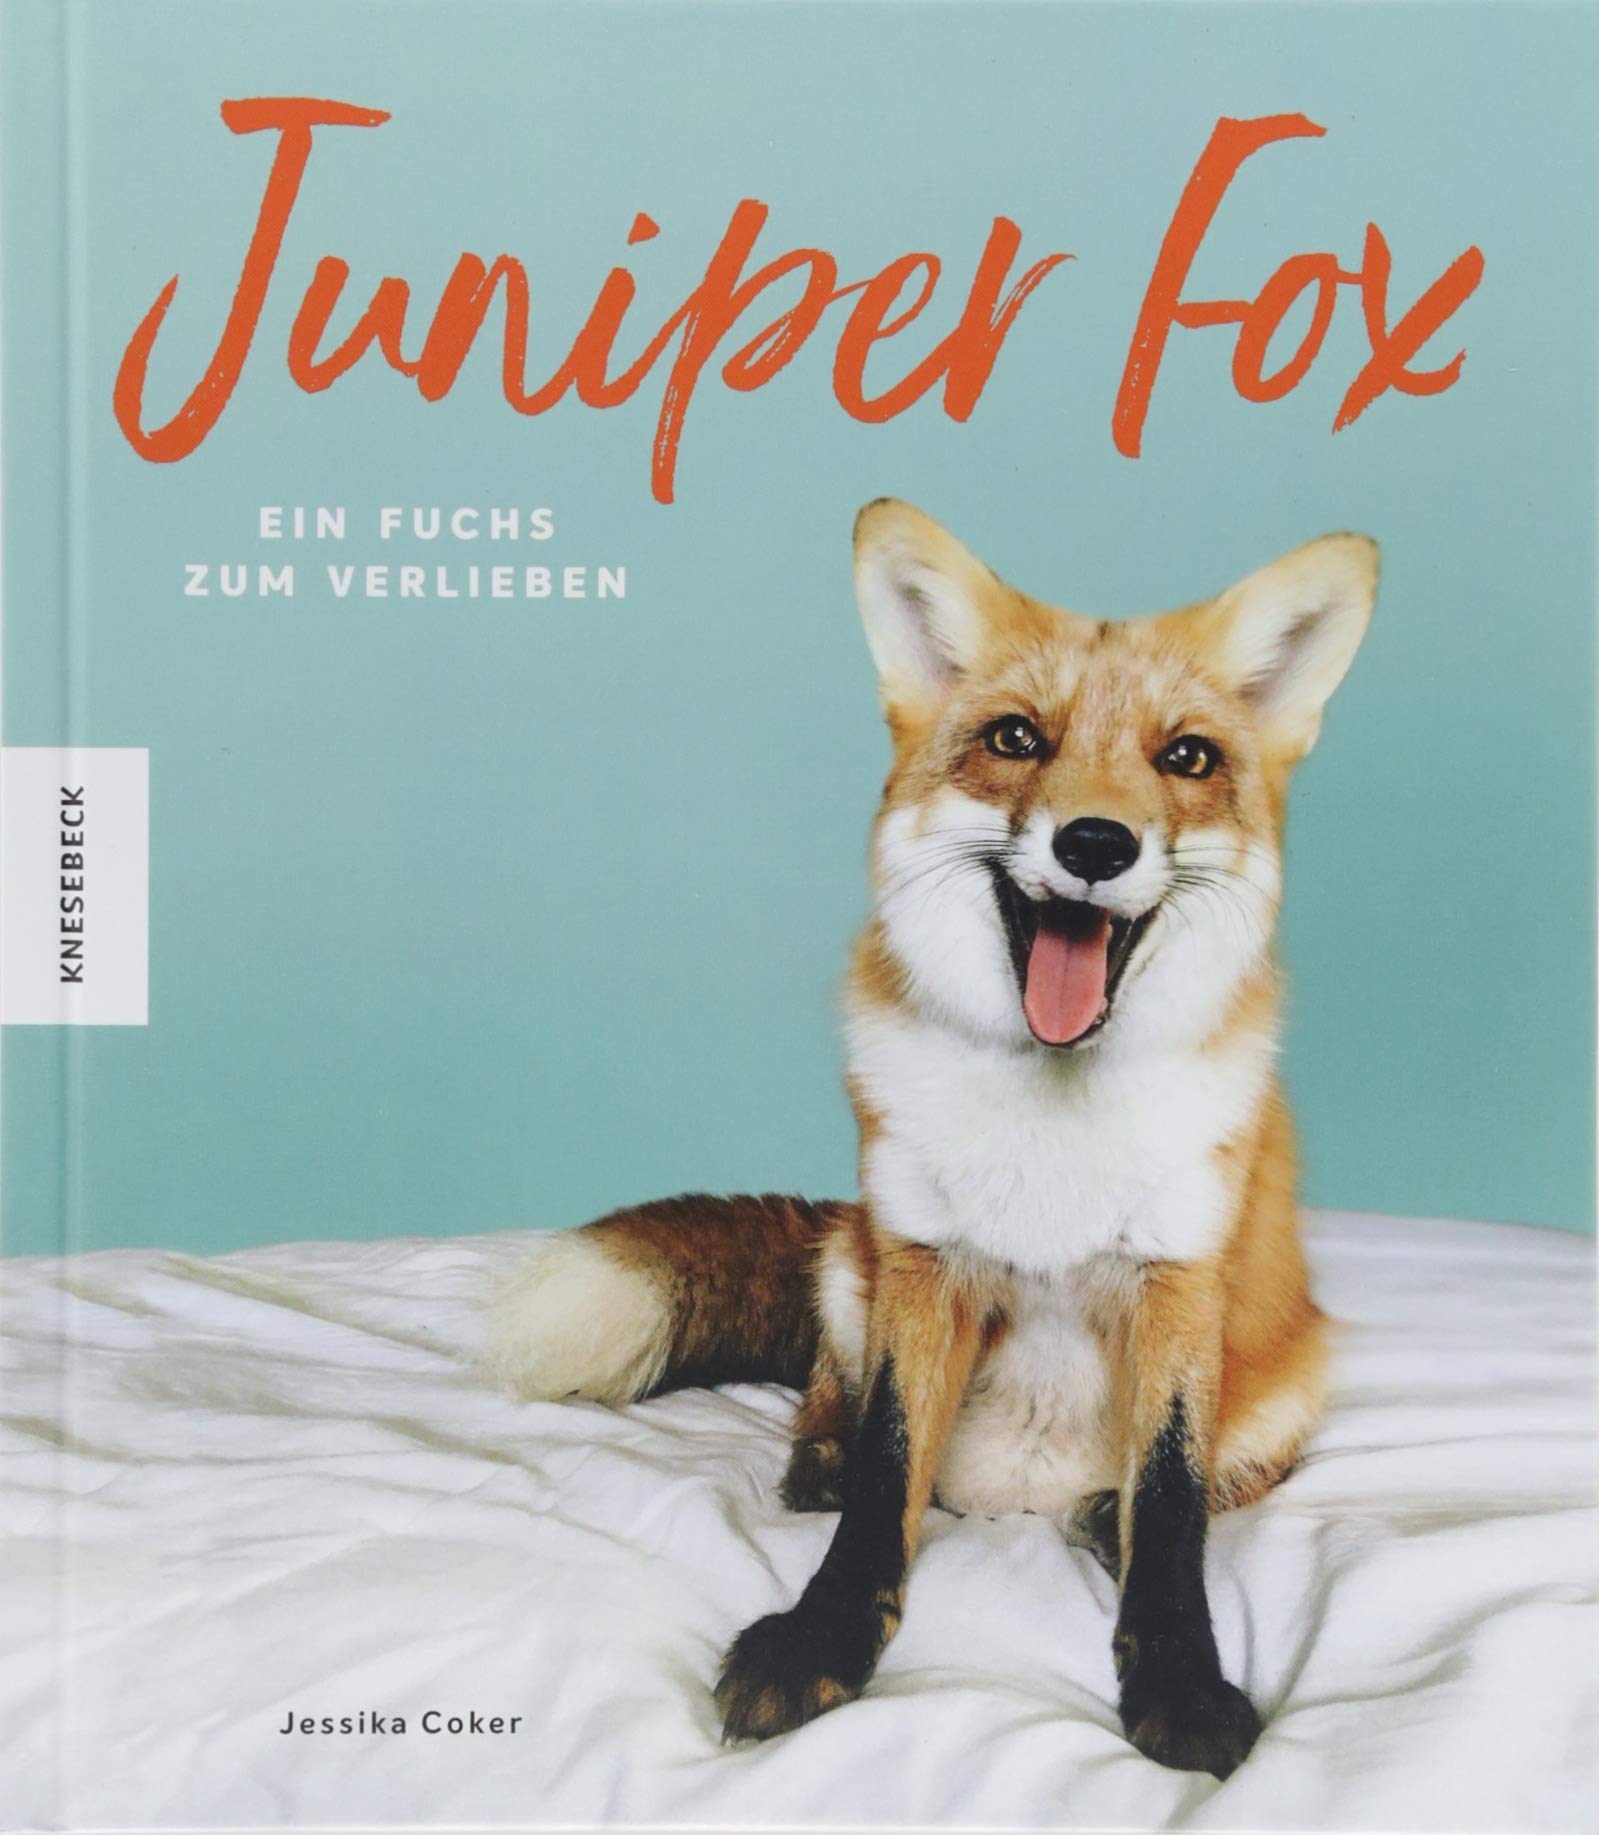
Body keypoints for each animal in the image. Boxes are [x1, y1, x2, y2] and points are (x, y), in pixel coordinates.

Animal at [487, 500, 1379, 1780]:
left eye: (1188, 758)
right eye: (1016, 737)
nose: (1096, 843)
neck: (1052, 1122)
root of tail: (1015, 1497)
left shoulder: (1178, 1280)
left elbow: (1172, 1505)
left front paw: (1177, 1675)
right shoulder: (919, 1259)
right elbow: (883, 1473)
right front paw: (822, 1635)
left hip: (1292, 1372)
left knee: (1227, 1474)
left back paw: (1100, 1517)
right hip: (846, 1256)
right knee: (831, 1391)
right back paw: (815, 1459)